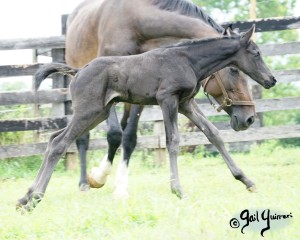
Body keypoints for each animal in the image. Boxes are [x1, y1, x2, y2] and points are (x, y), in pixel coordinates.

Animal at [18, 24, 276, 212]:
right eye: (255, 54)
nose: (271, 80)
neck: (187, 60)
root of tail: (78, 71)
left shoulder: (186, 104)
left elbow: (213, 134)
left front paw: (247, 181)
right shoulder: (167, 99)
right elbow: (173, 142)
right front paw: (178, 191)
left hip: (97, 113)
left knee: (54, 138)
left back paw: (26, 197)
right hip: (88, 111)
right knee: (60, 143)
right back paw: (35, 199)